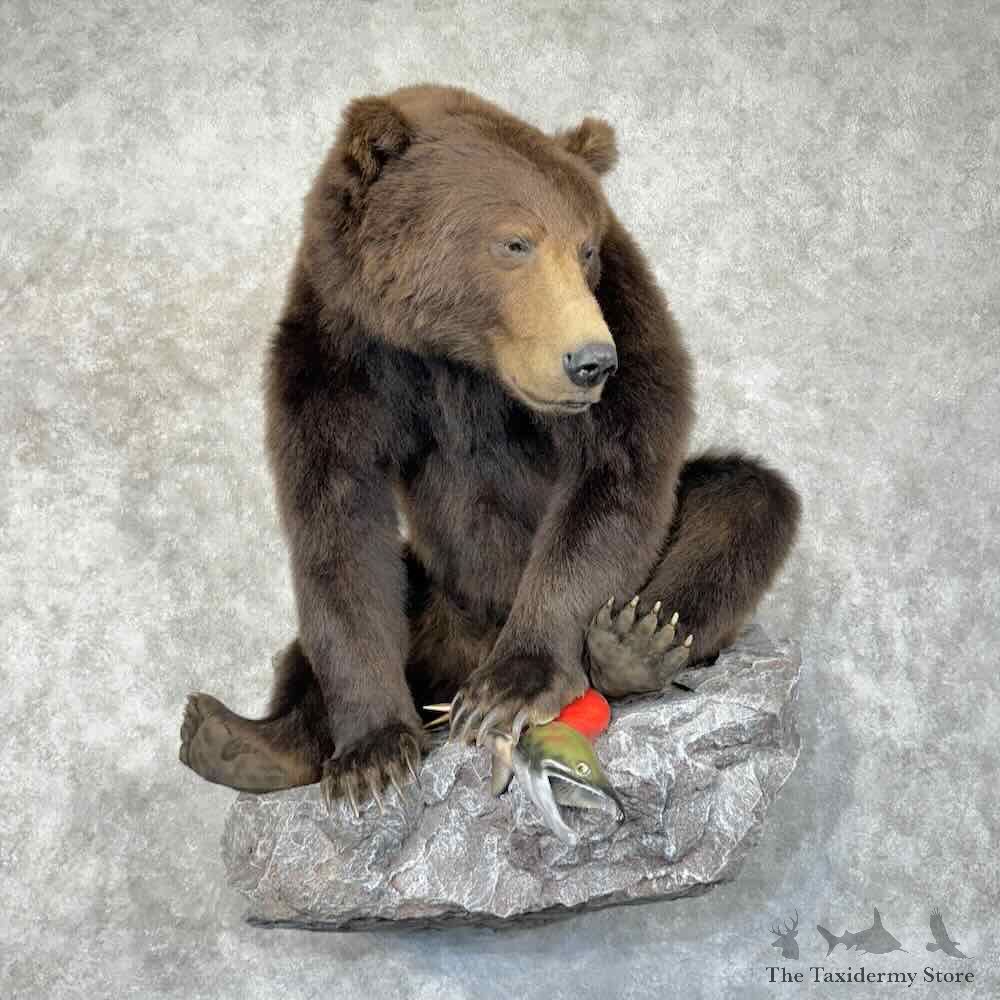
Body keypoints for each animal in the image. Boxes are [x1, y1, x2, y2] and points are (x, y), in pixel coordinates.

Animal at [179, 83, 801, 813]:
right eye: (515, 241)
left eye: (585, 248)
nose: (591, 362)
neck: (457, 352)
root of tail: (457, 657)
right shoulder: (339, 357)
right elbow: (338, 530)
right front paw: (371, 756)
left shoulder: (621, 310)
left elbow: (615, 476)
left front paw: (508, 690)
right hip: (434, 596)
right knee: (312, 643)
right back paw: (234, 739)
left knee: (744, 501)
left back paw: (632, 645)